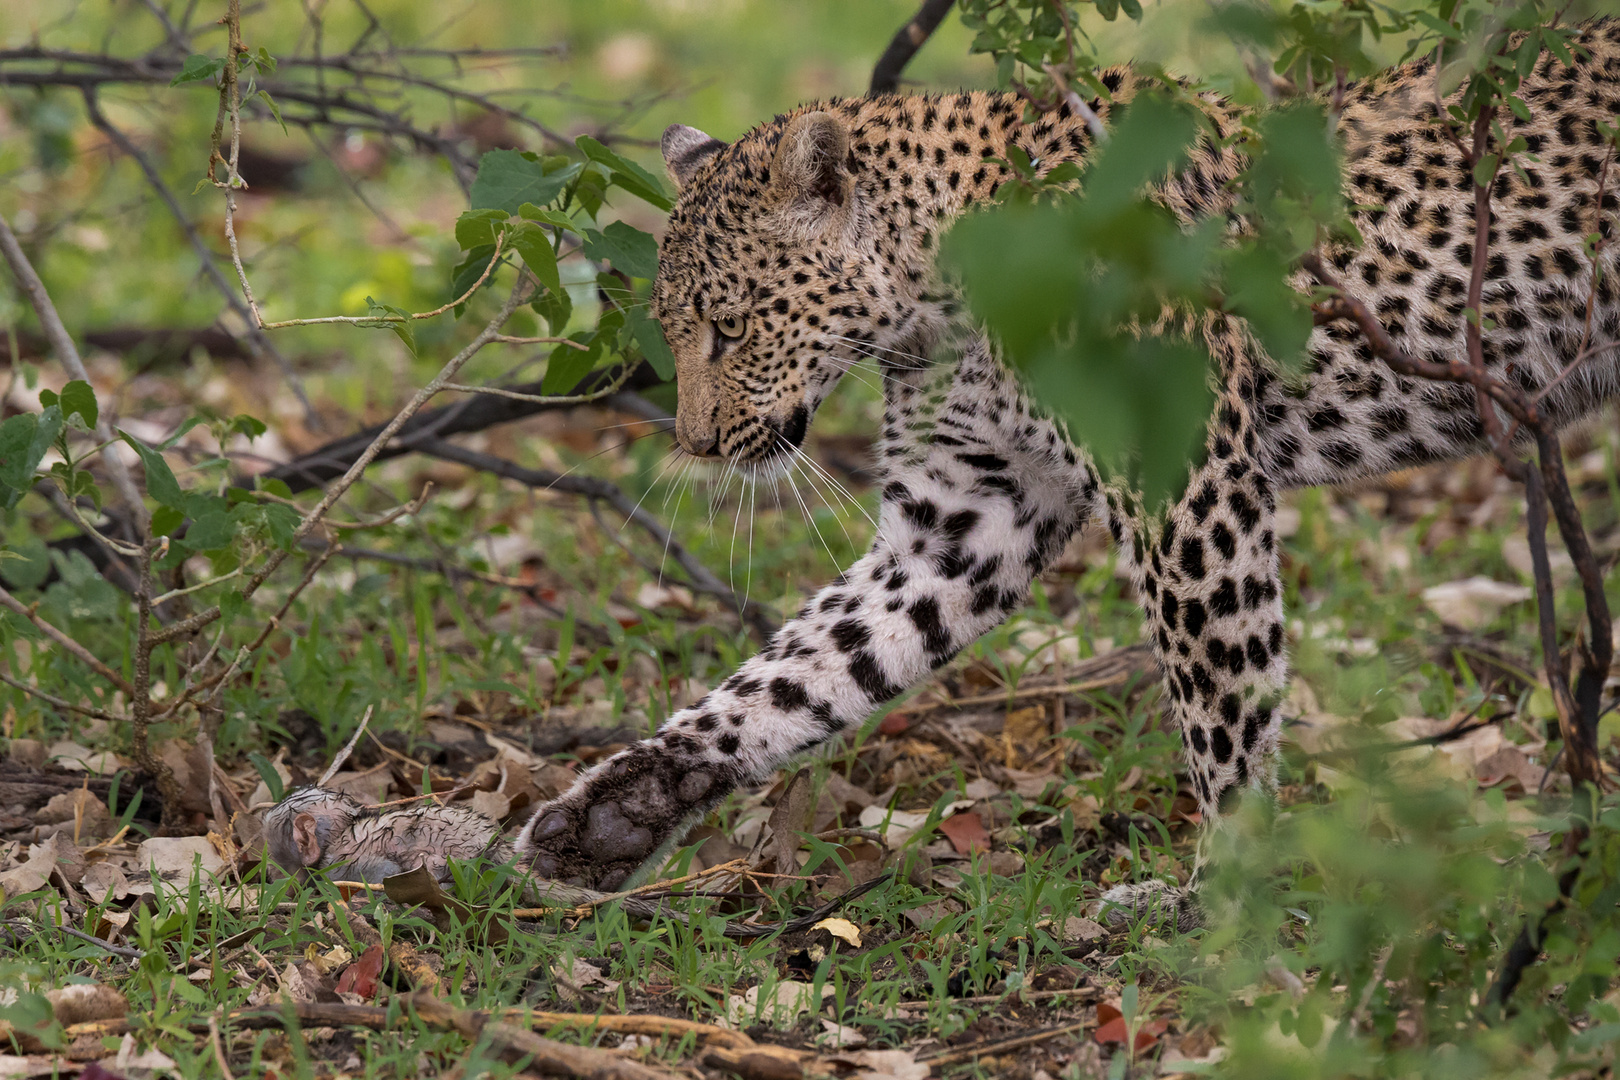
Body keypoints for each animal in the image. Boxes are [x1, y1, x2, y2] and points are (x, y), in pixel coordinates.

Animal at [511, 21, 1620, 926]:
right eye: (675, 329)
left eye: (731, 328)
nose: (697, 442)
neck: (934, 295)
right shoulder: (959, 522)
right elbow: (796, 672)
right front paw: (610, 812)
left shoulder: (1186, 486)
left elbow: (1223, 704)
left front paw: (1222, 897)